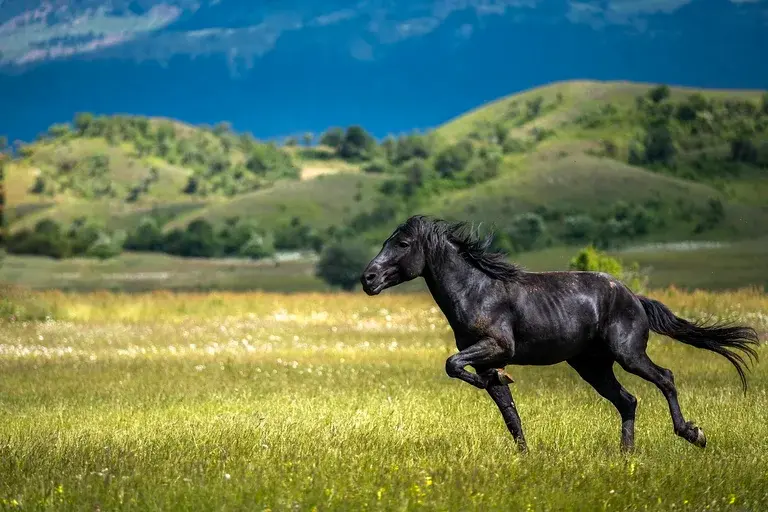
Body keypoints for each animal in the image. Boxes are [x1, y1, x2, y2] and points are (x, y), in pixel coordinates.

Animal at [360, 215, 760, 452]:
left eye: (403, 244)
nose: (368, 278)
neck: (477, 291)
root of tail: (634, 297)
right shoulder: (486, 358)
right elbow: (507, 409)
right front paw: (523, 454)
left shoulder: (496, 347)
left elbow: (453, 364)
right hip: (592, 366)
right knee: (628, 400)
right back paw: (626, 456)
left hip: (629, 354)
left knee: (665, 378)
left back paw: (693, 434)